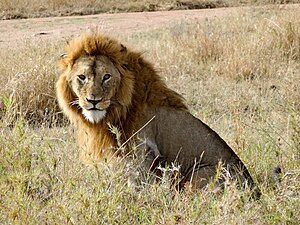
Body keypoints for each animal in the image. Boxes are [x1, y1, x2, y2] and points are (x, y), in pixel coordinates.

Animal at [56, 30, 260, 196]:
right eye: (82, 77)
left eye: (106, 77)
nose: (93, 101)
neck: (116, 111)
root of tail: (254, 188)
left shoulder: (143, 152)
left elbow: (136, 186)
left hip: (200, 172)